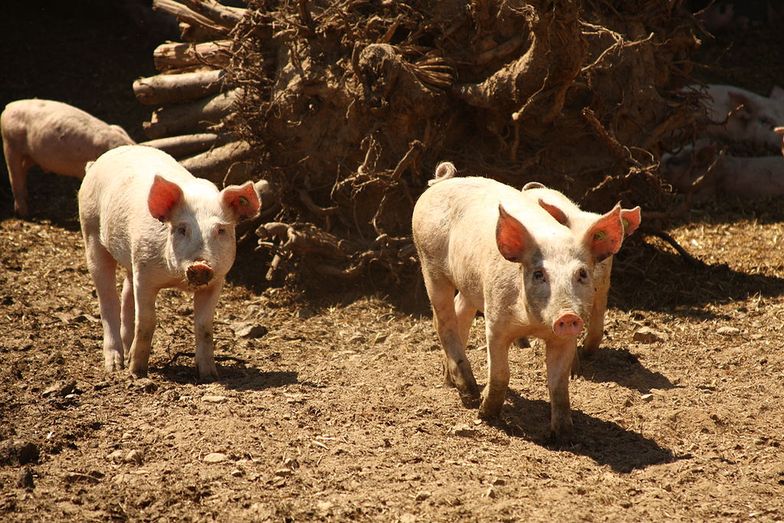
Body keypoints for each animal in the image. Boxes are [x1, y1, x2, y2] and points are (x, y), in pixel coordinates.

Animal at [1, 98, 135, 217]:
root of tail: (8, 107)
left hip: (31, 155)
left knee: (22, 171)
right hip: (10, 144)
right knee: (14, 176)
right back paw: (24, 214)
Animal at [80, 143, 264, 380]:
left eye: (221, 230)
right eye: (182, 229)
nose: (200, 264)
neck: (176, 279)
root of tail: (97, 163)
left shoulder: (217, 281)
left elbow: (204, 325)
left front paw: (210, 375)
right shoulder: (145, 273)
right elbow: (147, 320)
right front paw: (136, 372)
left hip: (130, 257)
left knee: (126, 293)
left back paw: (127, 353)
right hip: (91, 231)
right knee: (107, 300)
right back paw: (116, 366)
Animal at [414, 164, 628, 442]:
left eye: (581, 273)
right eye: (538, 274)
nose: (567, 316)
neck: (534, 323)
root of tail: (441, 183)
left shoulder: (565, 338)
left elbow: (559, 384)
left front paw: (565, 437)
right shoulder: (495, 322)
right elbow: (500, 373)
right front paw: (486, 415)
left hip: (470, 283)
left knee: (461, 313)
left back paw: (450, 381)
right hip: (430, 265)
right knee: (443, 322)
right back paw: (469, 395)